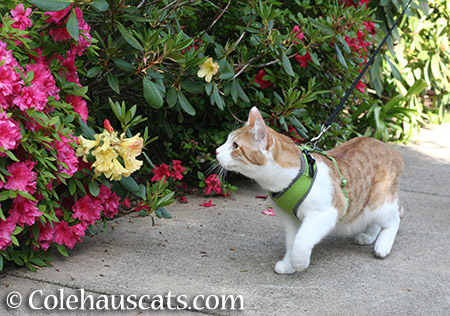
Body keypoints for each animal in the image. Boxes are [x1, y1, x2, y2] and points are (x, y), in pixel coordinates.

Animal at [215, 107, 404, 274]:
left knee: (395, 218)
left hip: (378, 204)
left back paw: (383, 245)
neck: (291, 178)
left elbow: (301, 241)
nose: (216, 151)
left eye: (235, 146)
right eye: (227, 141)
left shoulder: (326, 212)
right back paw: (368, 236)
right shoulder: (290, 219)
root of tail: (391, 150)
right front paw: (289, 264)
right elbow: (292, 241)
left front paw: (299, 263)